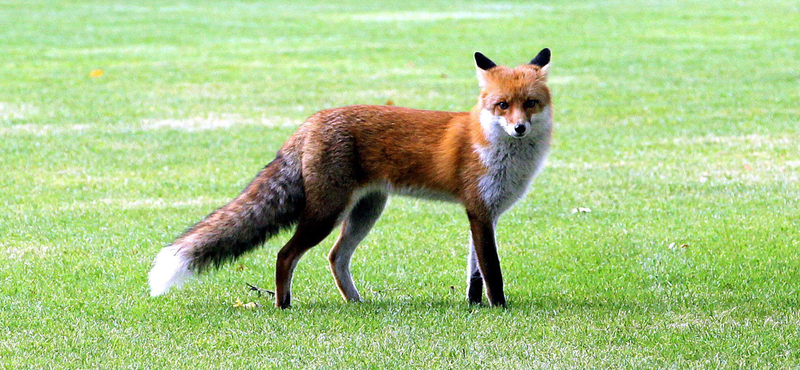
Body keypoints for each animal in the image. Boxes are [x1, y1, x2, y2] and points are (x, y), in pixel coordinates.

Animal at [147, 49, 552, 310]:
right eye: (502, 105)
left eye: (530, 103)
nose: (519, 128)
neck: (494, 146)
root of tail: (311, 121)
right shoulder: (480, 212)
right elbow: (493, 271)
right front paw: (500, 310)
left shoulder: (481, 213)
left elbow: (475, 274)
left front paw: (475, 307)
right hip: (326, 213)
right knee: (285, 254)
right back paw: (284, 306)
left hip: (366, 211)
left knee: (336, 257)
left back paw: (356, 303)